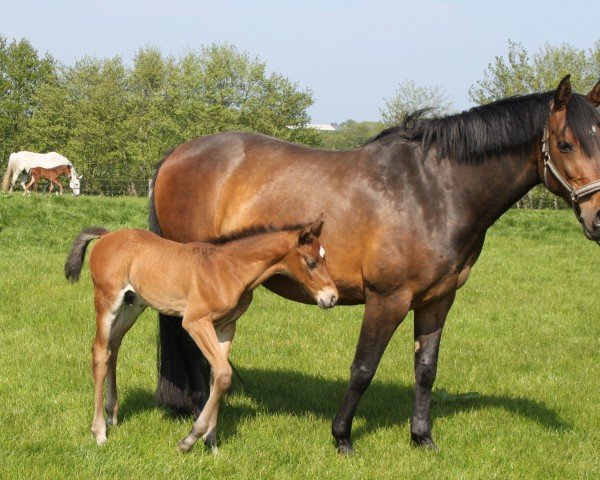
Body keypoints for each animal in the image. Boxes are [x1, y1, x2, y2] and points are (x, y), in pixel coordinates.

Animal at [65, 218, 338, 450]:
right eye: (311, 262)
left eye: (325, 259)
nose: (332, 297)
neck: (230, 269)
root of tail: (107, 236)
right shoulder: (196, 322)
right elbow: (224, 373)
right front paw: (190, 439)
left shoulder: (226, 327)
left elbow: (218, 377)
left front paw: (212, 442)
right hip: (107, 300)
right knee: (100, 352)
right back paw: (100, 431)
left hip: (133, 305)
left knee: (114, 347)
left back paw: (112, 414)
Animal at [149, 73, 600, 452]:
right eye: (566, 145)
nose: (598, 219)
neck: (434, 192)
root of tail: (177, 154)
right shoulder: (388, 298)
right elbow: (364, 368)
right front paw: (342, 437)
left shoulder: (438, 300)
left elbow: (426, 369)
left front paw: (422, 438)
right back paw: (199, 419)